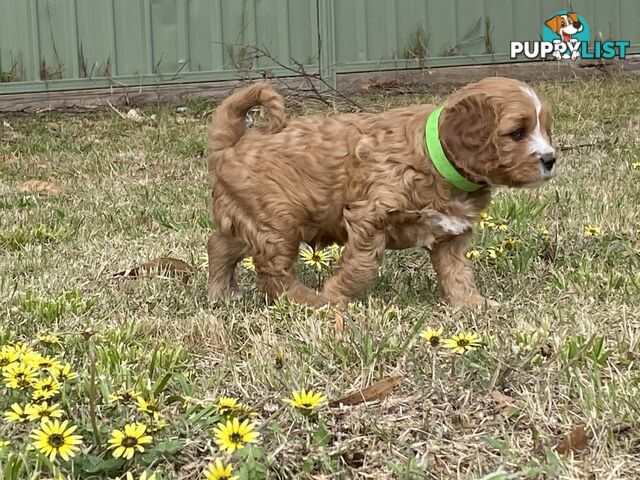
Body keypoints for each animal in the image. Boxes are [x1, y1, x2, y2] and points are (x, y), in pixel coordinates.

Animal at [206, 75, 556, 308]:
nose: (551, 159)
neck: (433, 157)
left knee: (220, 246)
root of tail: (233, 142)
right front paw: (336, 295)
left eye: (545, 129)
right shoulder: (370, 216)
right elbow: (362, 267)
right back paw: (312, 302)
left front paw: (471, 304)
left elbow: (457, 272)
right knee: (271, 272)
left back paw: (222, 293)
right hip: (278, 223)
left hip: (250, 220)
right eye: (517, 133)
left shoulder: (452, 235)